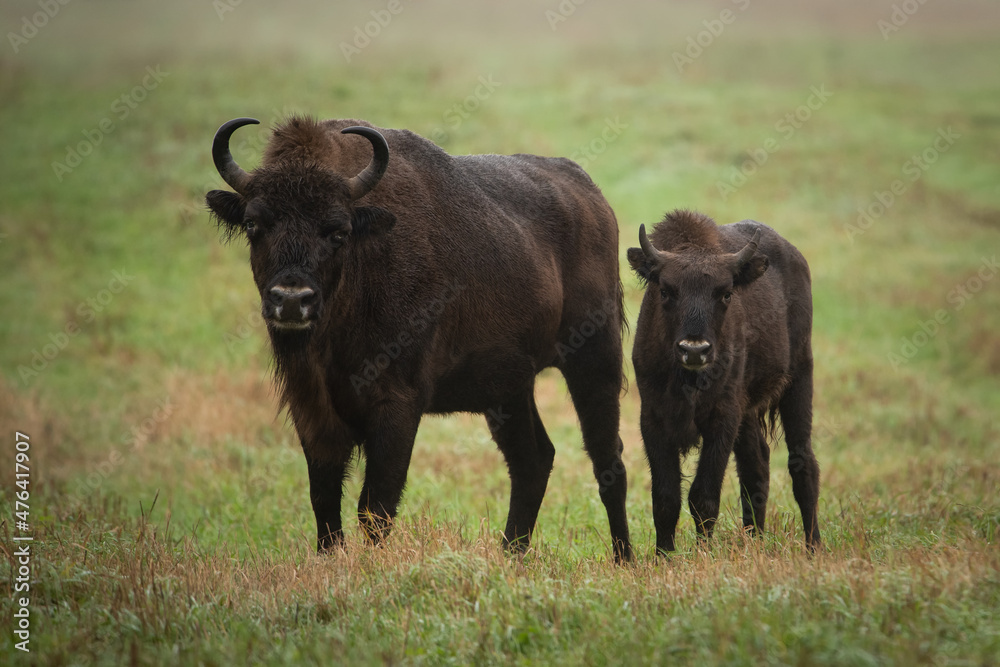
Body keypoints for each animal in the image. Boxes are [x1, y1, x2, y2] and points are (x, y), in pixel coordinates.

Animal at [205, 116, 632, 564]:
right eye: (254, 224)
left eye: (337, 231)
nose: (291, 300)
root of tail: (590, 195)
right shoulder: (312, 409)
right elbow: (324, 502)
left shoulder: (397, 406)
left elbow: (376, 505)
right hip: (509, 389)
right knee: (532, 459)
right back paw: (510, 554)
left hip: (593, 359)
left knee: (607, 459)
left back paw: (624, 558)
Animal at [632, 209, 820, 552]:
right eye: (665, 291)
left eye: (726, 293)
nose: (695, 349)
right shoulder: (653, 418)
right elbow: (665, 498)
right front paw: (663, 556)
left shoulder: (723, 417)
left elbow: (703, 497)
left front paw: (703, 554)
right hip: (750, 411)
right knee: (757, 464)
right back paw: (755, 540)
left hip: (799, 379)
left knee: (803, 464)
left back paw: (814, 547)